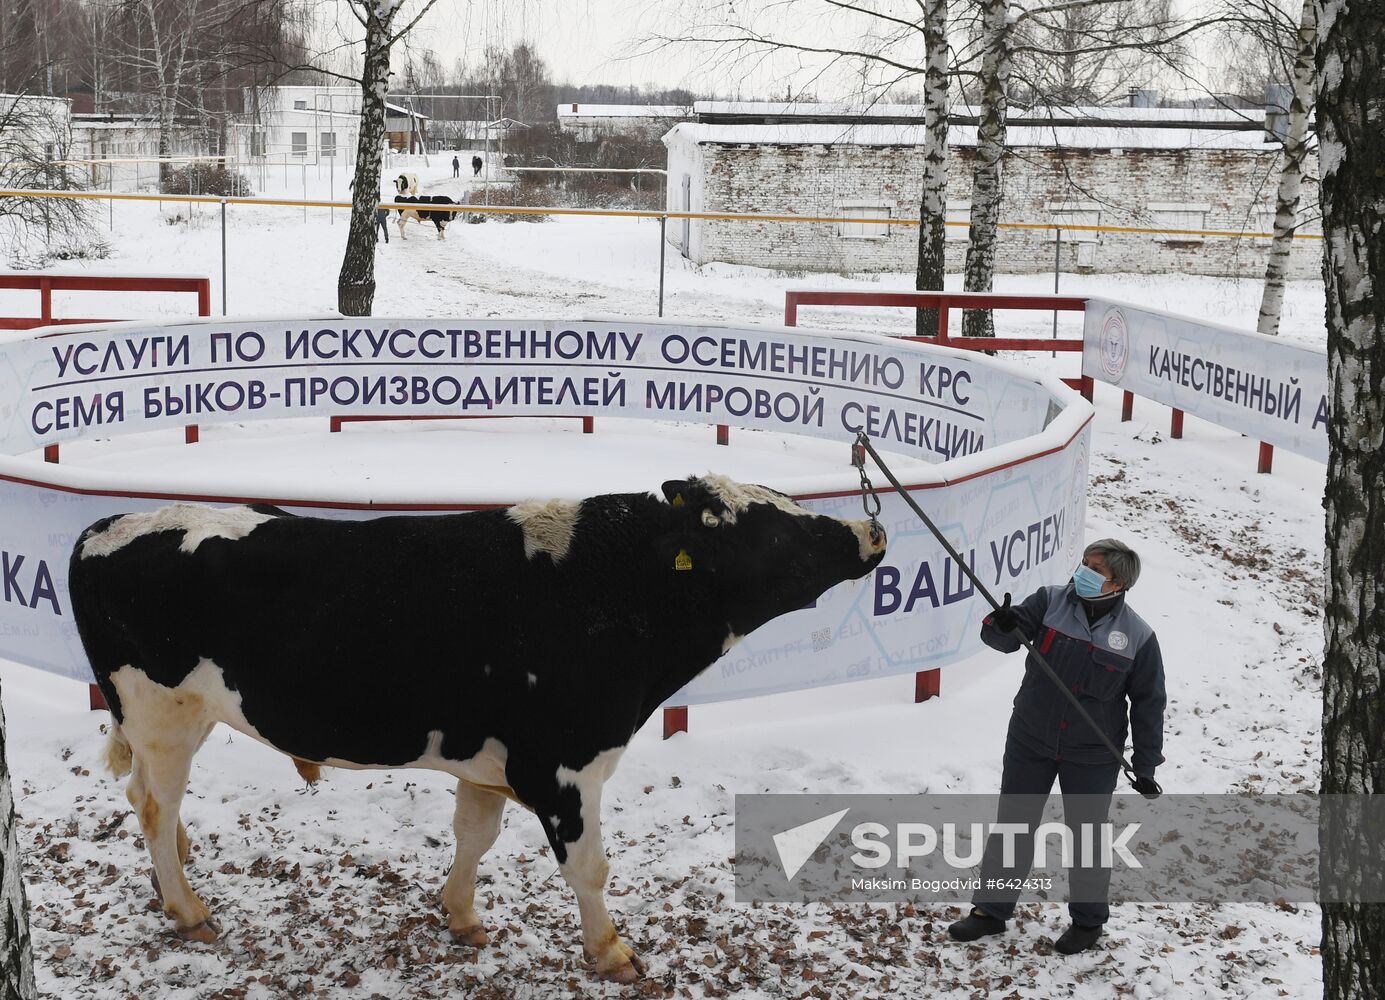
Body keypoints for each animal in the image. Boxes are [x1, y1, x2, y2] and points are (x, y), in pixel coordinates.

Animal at [70, 476, 886, 980]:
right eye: (773, 532)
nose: (868, 531)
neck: (608, 585)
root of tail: (112, 522)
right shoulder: (563, 765)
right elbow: (589, 867)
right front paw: (611, 952)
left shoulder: (488, 760)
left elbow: (476, 834)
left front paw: (460, 915)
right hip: (162, 712)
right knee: (154, 803)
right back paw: (186, 908)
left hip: (178, 718)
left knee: (147, 798)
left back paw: (176, 870)